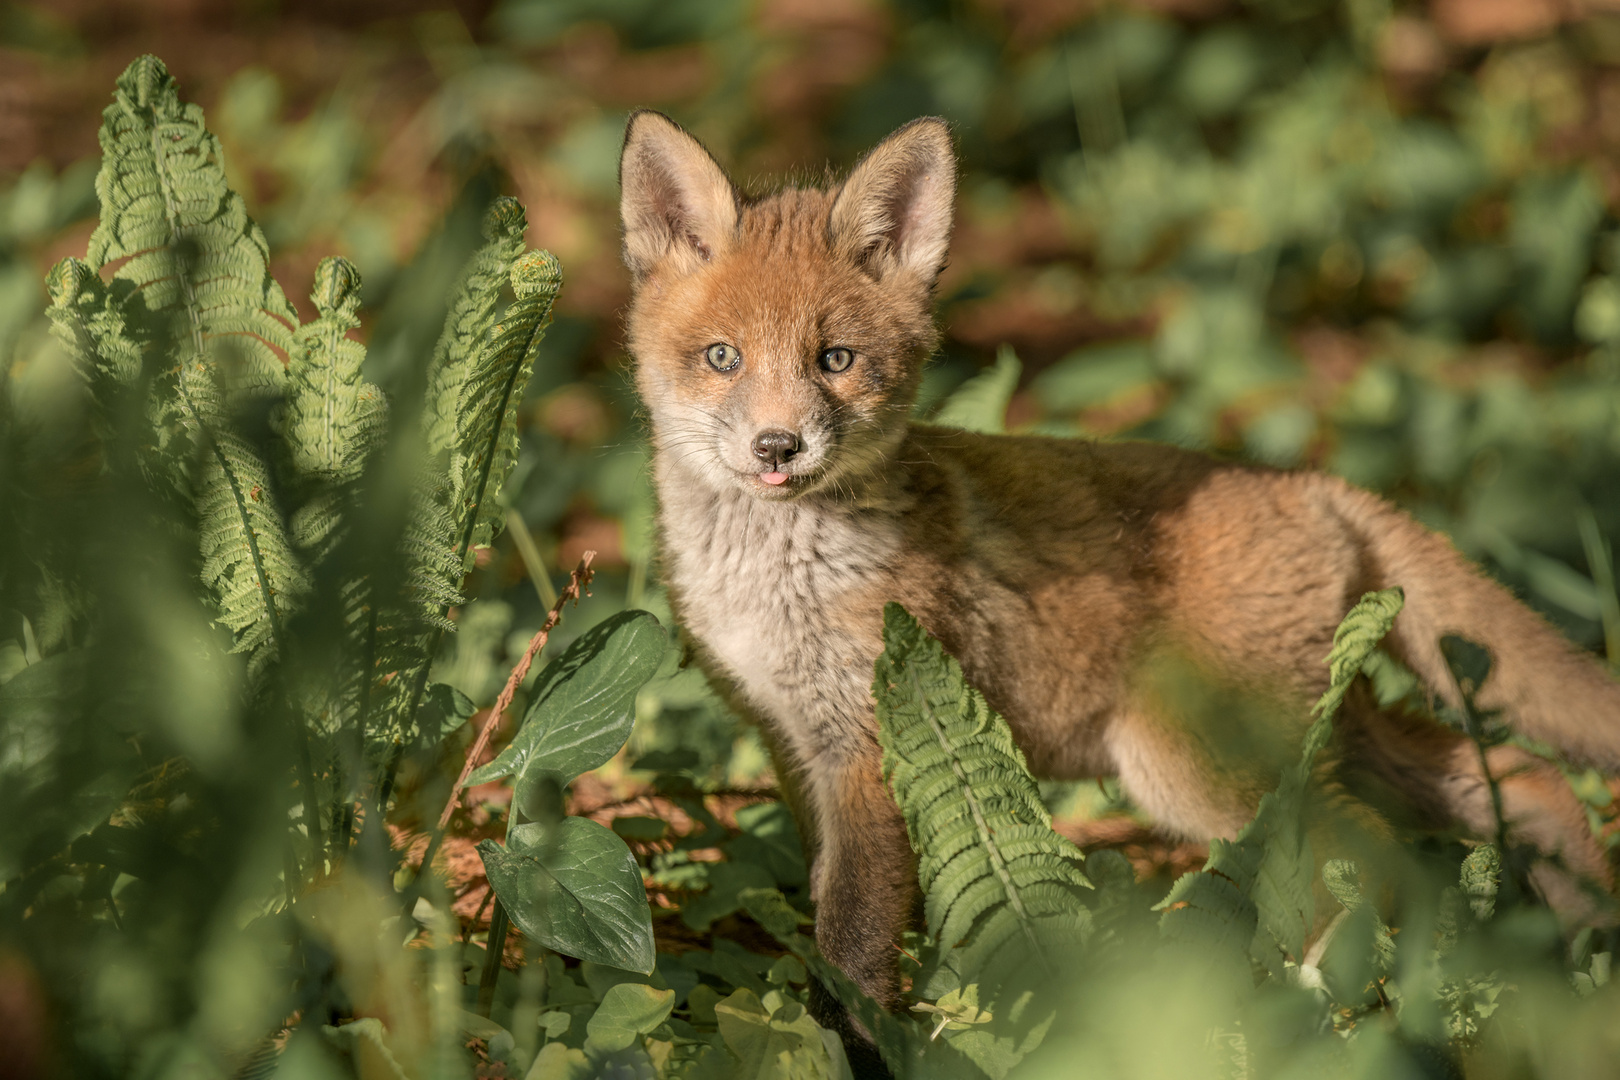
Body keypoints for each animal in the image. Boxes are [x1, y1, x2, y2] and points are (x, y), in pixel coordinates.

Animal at [609, 110, 1620, 1055]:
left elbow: (853, 944)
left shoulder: (867, 744)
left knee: (1370, 853)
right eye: (723, 358)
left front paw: (852, 1044)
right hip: (1326, 735)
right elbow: (825, 901)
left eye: (836, 361)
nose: (778, 447)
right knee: (1520, 781)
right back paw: (1577, 945)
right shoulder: (789, 741)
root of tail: (1311, 483)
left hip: (1194, 763)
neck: (777, 583)